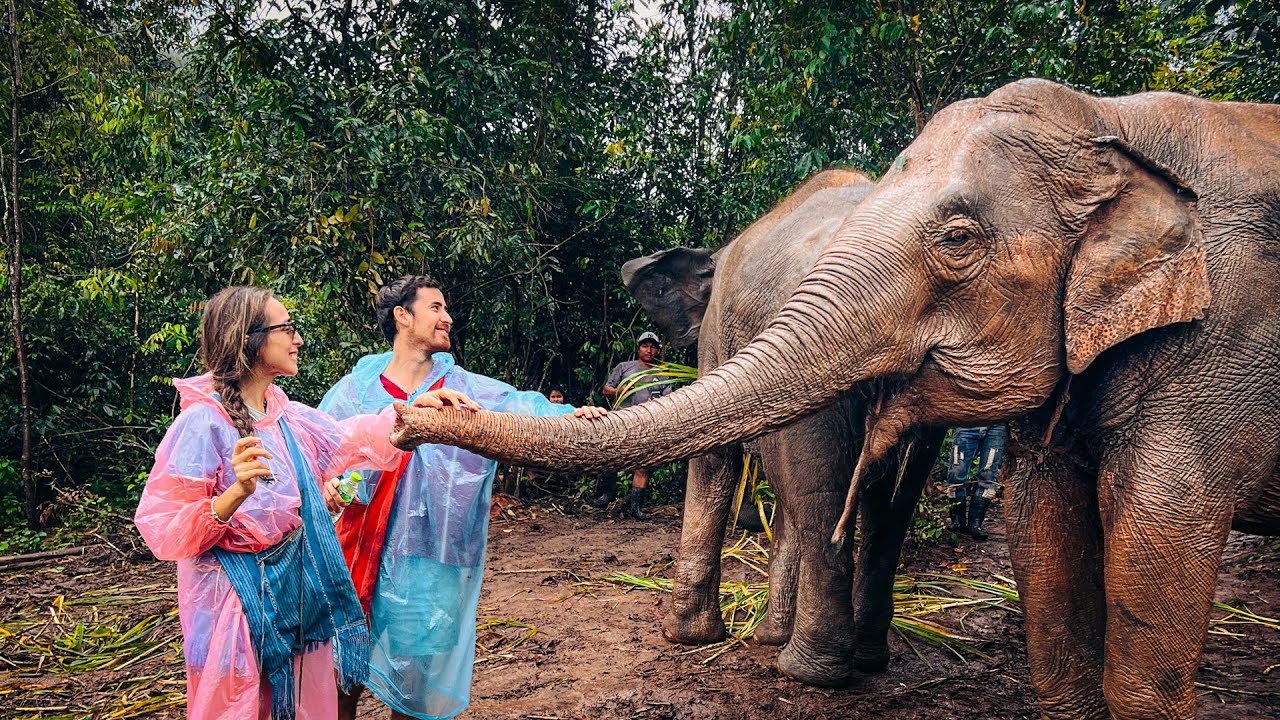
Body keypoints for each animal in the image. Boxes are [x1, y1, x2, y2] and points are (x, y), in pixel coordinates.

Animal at [619, 169, 943, 684]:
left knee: (820, 496)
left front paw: (683, 637)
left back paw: (809, 670)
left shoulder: (717, 336)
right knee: (890, 506)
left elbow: (716, 458)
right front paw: (766, 637)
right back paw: (866, 658)